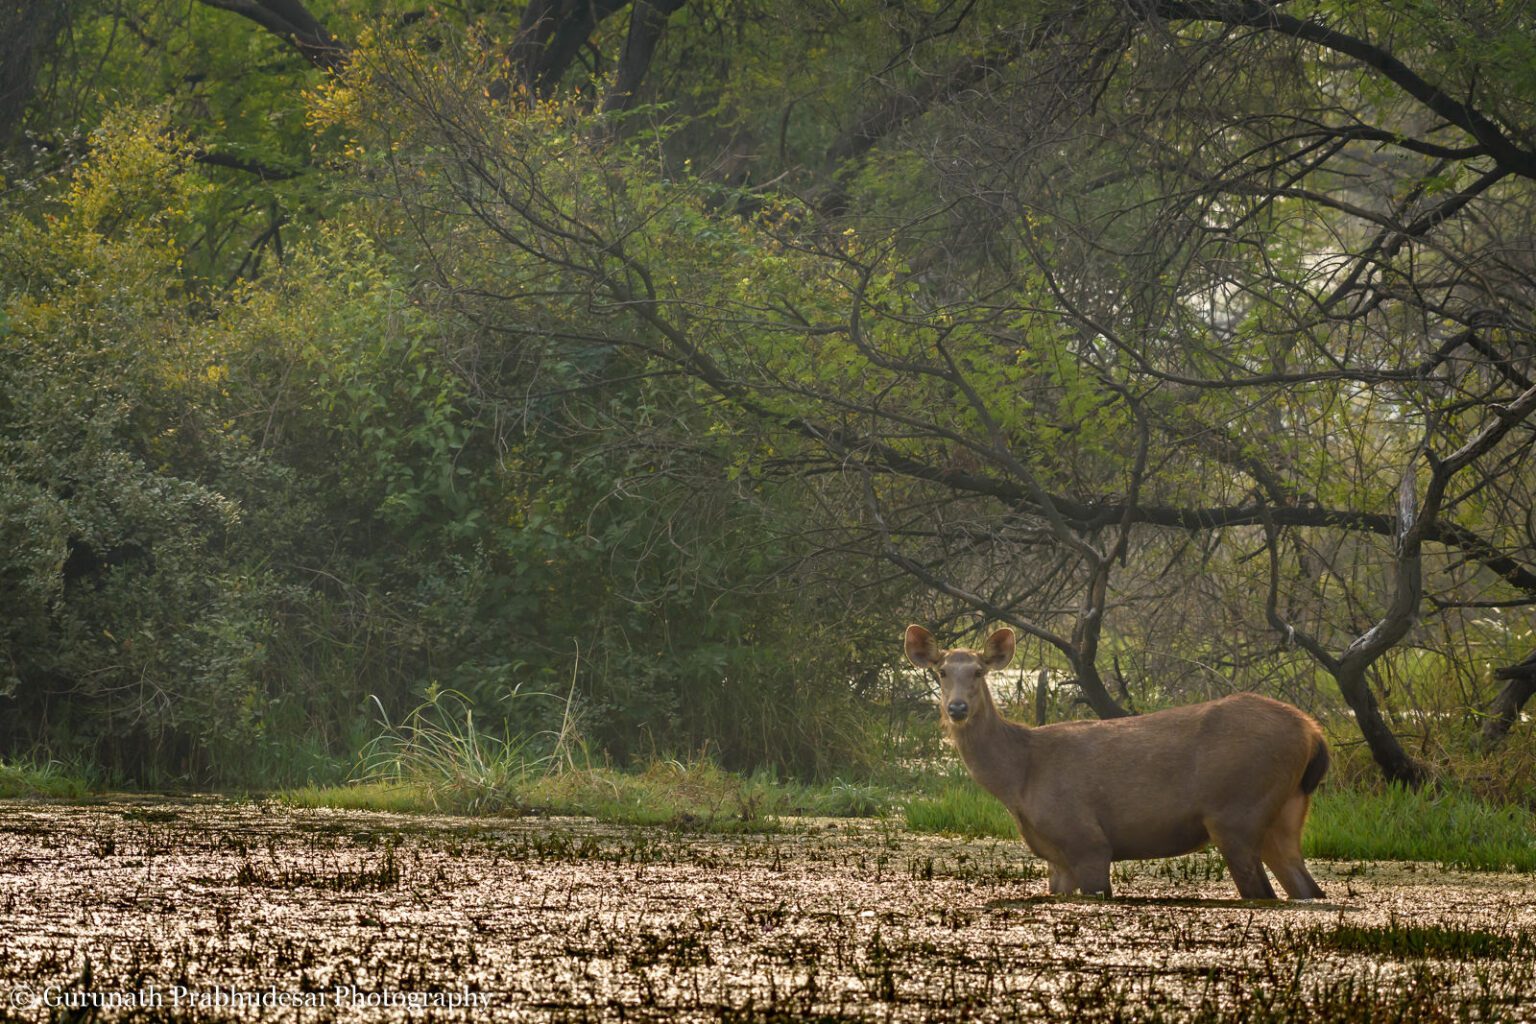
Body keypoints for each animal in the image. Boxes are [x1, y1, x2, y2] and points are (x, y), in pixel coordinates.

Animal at [903, 626, 1327, 896]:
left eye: (978, 671)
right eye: (941, 671)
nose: (957, 708)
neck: (1020, 778)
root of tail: (1314, 734)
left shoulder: (1087, 841)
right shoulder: (1058, 858)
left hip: (1236, 811)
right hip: (1285, 815)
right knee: (1307, 889)